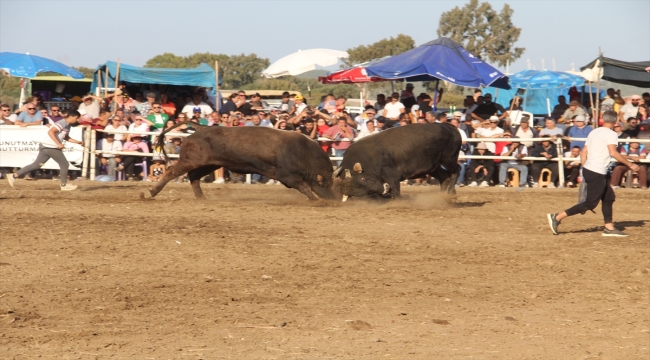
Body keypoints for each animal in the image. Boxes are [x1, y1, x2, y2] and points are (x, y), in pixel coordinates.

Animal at [143, 123, 334, 201]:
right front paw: (316, 200)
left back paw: (201, 197)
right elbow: (304, 186)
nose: (335, 199)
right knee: (172, 172)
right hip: (190, 161)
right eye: (327, 184)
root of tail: (199, 130)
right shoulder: (287, 176)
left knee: (194, 177)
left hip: (209, 164)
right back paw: (150, 193)